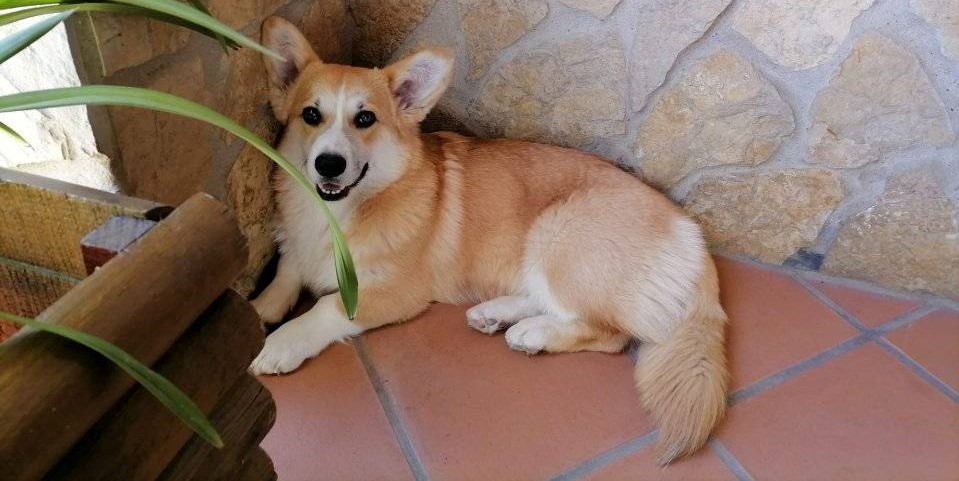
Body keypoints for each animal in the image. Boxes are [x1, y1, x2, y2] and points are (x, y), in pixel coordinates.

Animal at [251, 16, 732, 464]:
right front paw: (258, 310)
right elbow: (284, 277)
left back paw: (533, 334)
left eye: (365, 118)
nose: (328, 164)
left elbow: (325, 307)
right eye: (311, 115)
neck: (335, 215)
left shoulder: (393, 293)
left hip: (557, 233)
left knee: (610, 332)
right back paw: (496, 314)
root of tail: (690, 232)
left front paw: (280, 344)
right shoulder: (296, 251)